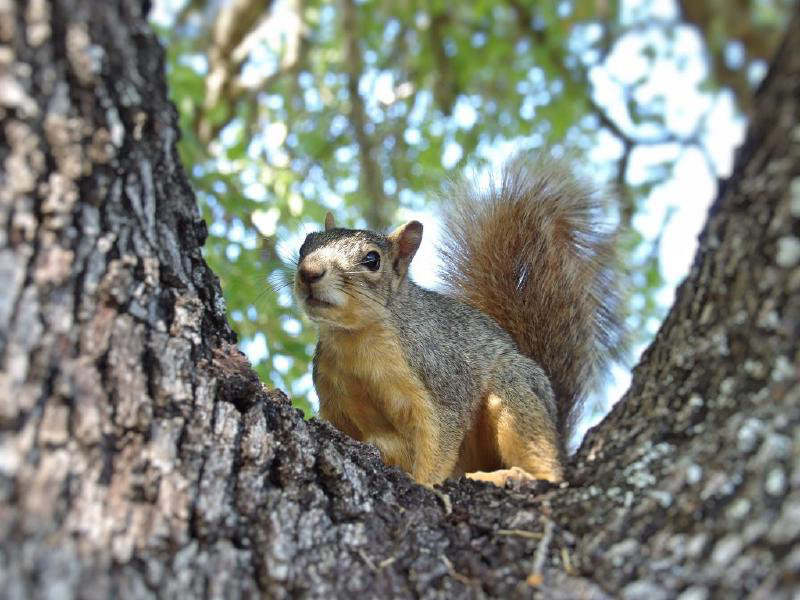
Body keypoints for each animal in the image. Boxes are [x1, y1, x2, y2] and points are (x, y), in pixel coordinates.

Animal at [293, 153, 626, 486]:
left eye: (372, 260)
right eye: (305, 244)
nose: (309, 272)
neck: (355, 338)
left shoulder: (440, 375)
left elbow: (441, 433)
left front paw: (425, 484)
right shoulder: (334, 396)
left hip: (515, 390)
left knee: (550, 468)